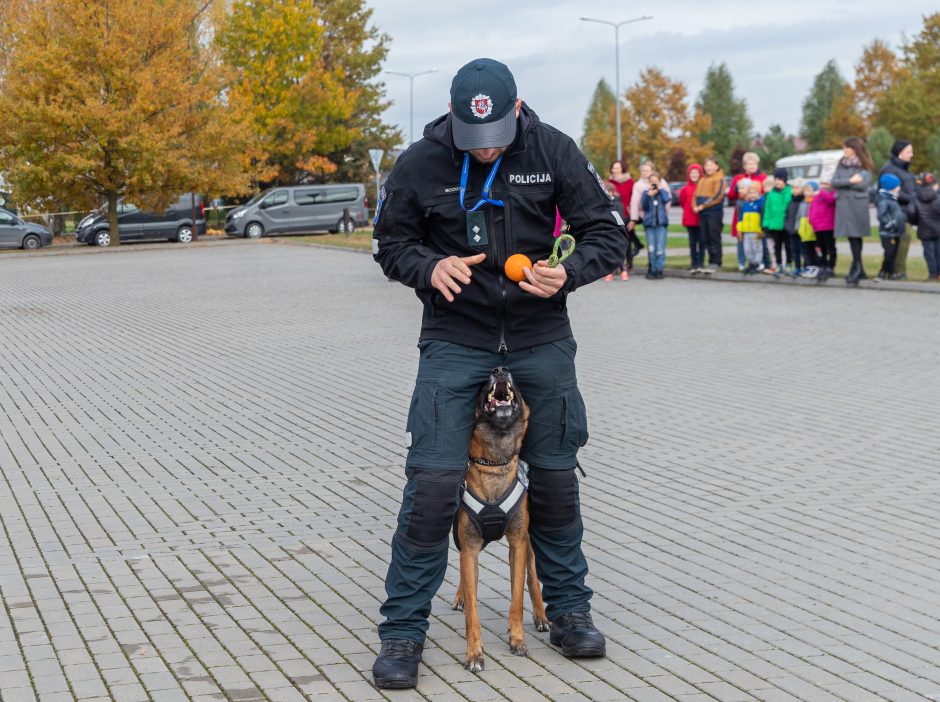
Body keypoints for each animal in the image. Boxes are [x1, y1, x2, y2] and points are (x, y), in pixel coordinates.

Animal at [450, 366, 548, 672]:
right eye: (483, 387)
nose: (500, 369)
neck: (495, 463)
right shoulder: (469, 546)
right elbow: (473, 611)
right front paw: (474, 654)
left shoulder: (518, 542)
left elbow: (517, 596)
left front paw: (517, 640)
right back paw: (460, 597)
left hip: (528, 542)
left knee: (533, 577)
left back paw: (542, 616)